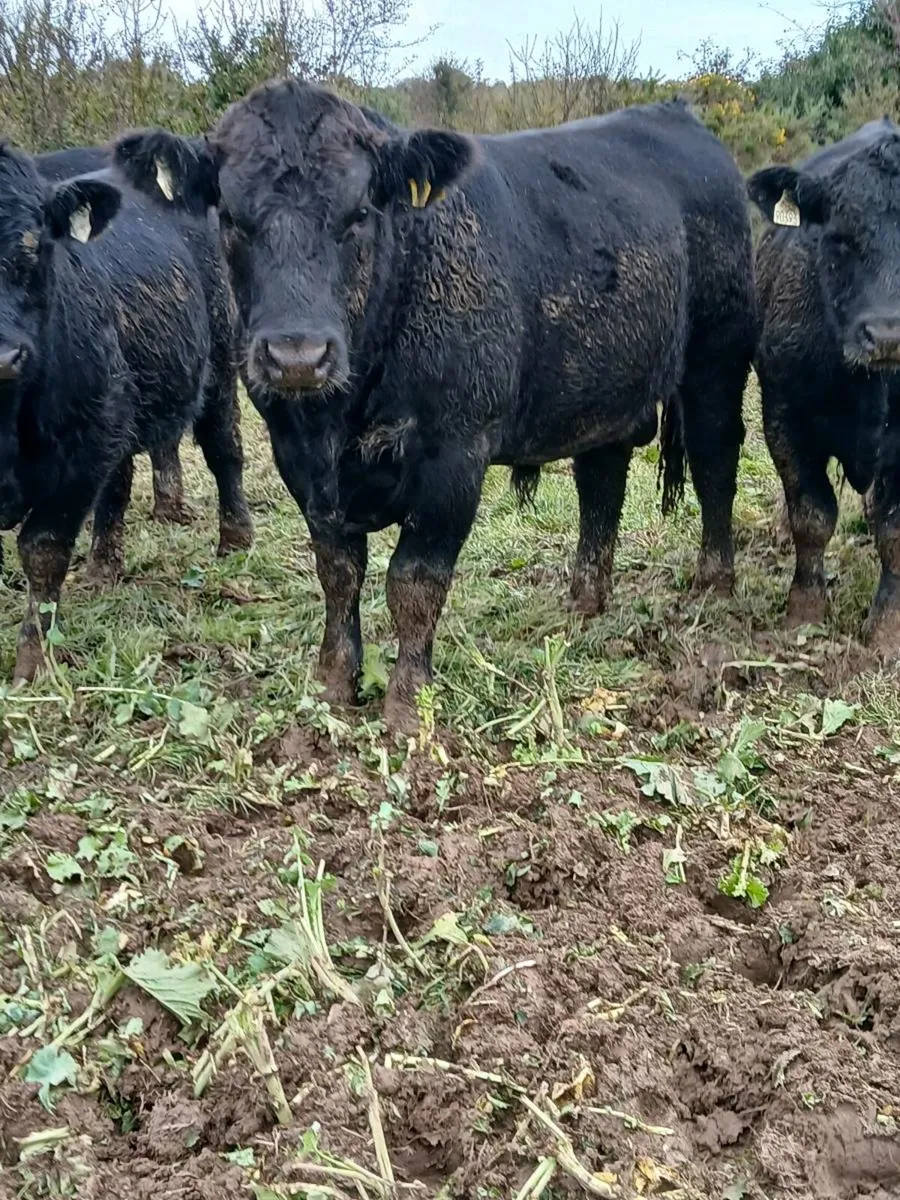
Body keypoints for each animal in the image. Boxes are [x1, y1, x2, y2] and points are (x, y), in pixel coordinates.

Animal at [0, 141, 252, 681]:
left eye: (33, 248)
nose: (4, 356)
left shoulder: (83, 444)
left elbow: (43, 551)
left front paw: (33, 663)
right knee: (118, 483)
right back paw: (103, 566)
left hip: (220, 365)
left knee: (225, 450)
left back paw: (235, 539)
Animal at [115, 81, 756, 730]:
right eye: (230, 217)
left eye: (360, 213)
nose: (298, 356)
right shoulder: (296, 456)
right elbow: (338, 572)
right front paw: (333, 681)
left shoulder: (454, 453)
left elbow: (415, 581)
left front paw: (406, 703)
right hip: (601, 384)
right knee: (601, 479)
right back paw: (583, 599)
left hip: (717, 357)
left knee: (714, 461)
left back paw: (715, 581)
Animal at [750, 117, 900, 651]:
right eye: (838, 238)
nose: (888, 334)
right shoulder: (785, 415)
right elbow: (812, 515)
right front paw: (804, 611)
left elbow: (893, 531)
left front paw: (887, 630)